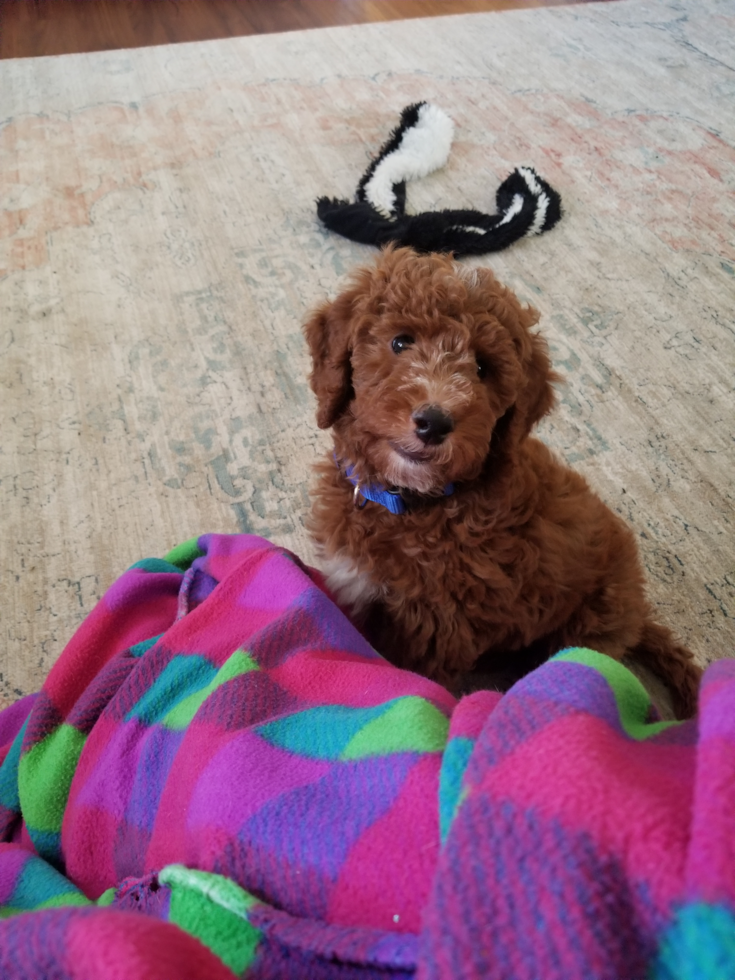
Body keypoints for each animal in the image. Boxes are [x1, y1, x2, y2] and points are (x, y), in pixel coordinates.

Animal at [304, 247, 700, 712]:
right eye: (400, 342)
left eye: (482, 368)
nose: (435, 422)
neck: (411, 504)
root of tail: (639, 612)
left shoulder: (434, 628)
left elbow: (408, 675)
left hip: (587, 626)